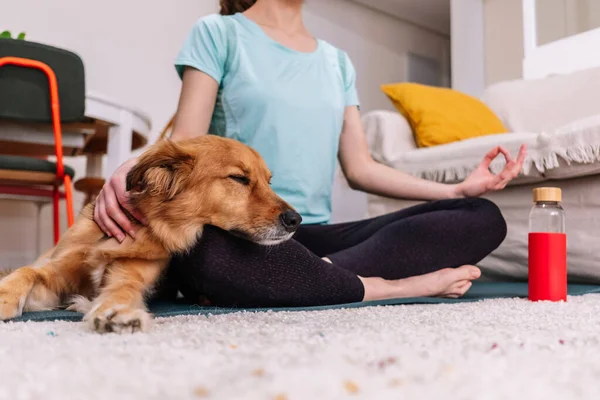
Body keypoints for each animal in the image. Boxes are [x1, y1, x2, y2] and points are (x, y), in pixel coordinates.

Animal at [0, 136, 300, 332]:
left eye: (268, 182)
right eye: (239, 178)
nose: (295, 220)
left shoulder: (131, 273)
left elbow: (122, 290)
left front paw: (117, 312)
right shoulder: (58, 268)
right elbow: (27, 271)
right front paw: (5, 296)